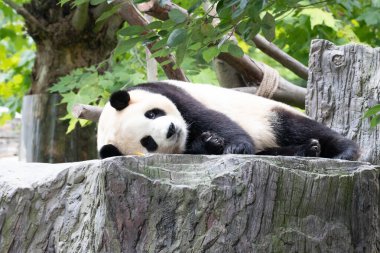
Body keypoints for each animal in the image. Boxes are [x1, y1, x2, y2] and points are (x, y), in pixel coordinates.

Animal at [96, 81, 360, 160]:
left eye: (152, 114)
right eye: (148, 142)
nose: (171, 129)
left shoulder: (169, 92)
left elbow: (211, 118)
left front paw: (234, 146)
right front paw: (210, 143)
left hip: (268, 112)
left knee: (296, 127)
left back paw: (343, 152)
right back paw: (307, 150)